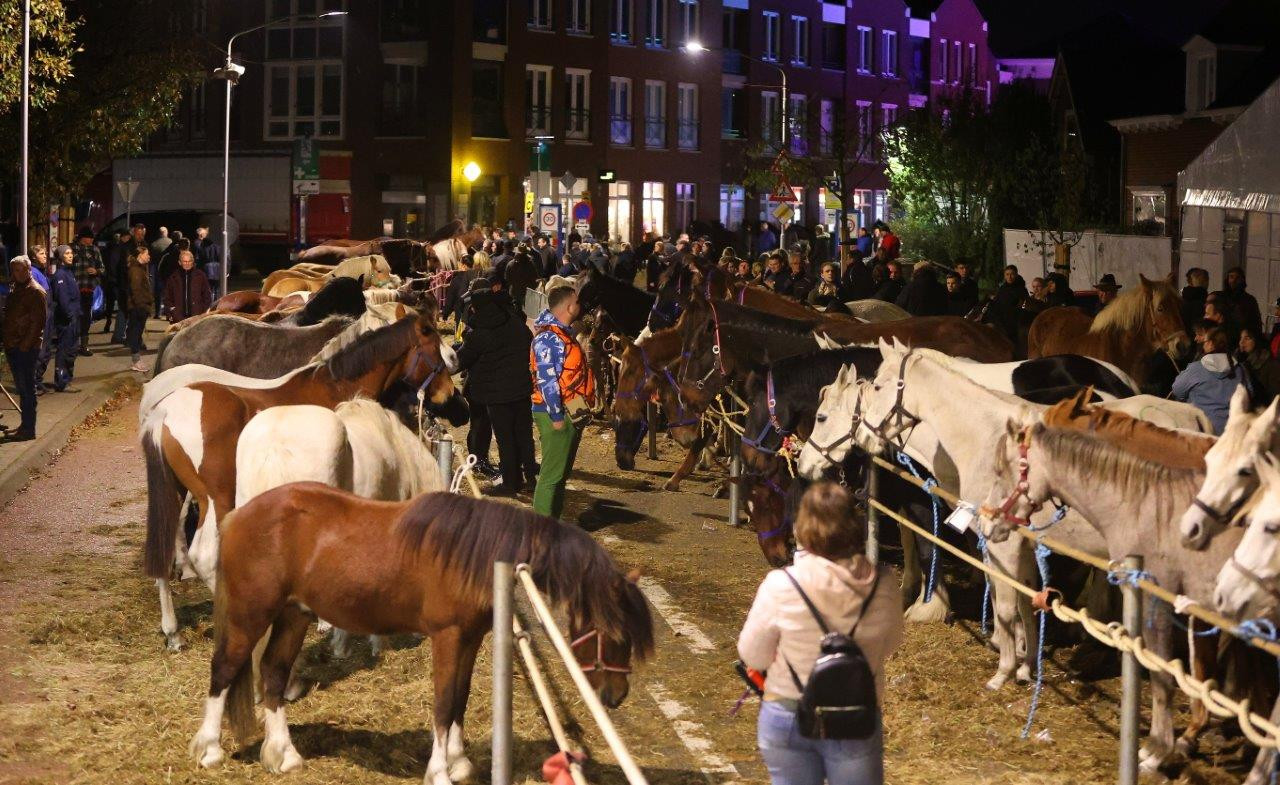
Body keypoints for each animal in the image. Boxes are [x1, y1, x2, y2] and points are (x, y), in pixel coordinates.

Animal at [139, 312, 458, 647]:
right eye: (432, 344)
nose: (449, 391)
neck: (335, 386)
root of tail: (164, 411)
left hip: (175, 492)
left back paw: (173, 632)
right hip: (214, 498)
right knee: (203, 554)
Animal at [188, 484, 650, 778]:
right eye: (614, 631)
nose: (616, 696)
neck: (478, 553)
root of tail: (237, 515)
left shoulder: (471, 638)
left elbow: (461, 698)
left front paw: (459, 763)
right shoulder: (447, 637)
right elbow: (443, 704)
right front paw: (440, 771)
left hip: (293, 615)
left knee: (273, 673)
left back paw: (284, 755)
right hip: (250, 615)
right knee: (223, 671)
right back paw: (209, 750)